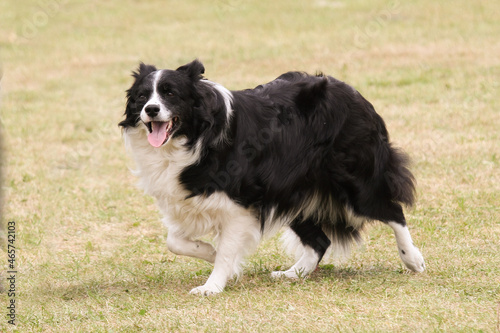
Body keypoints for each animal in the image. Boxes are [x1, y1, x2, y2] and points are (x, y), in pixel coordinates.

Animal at [118, 59, 426, 294]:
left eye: (170, 94)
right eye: (142, 96)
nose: (151, 110)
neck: (192, 136)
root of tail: (353, 93)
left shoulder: (239, 204)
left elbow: (226, 249)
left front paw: (212, 285)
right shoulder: (187, 198)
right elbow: (175, 242)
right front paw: (211, 255)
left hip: (354, 181)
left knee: (393, 211)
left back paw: (412, 259)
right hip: (292, 188)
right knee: (320, 242)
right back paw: (294, 273)